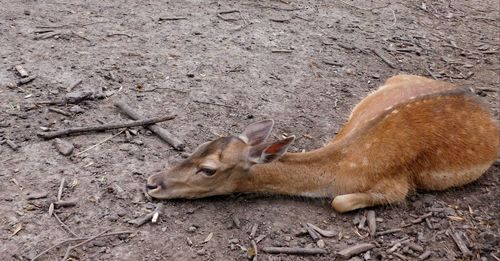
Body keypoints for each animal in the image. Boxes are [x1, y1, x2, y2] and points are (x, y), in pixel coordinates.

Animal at [146, 74, 500, 211]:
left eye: (208, 170)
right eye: (196, 147)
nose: (152, 183)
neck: (343, 169)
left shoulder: (396, 185)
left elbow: (338, 202)